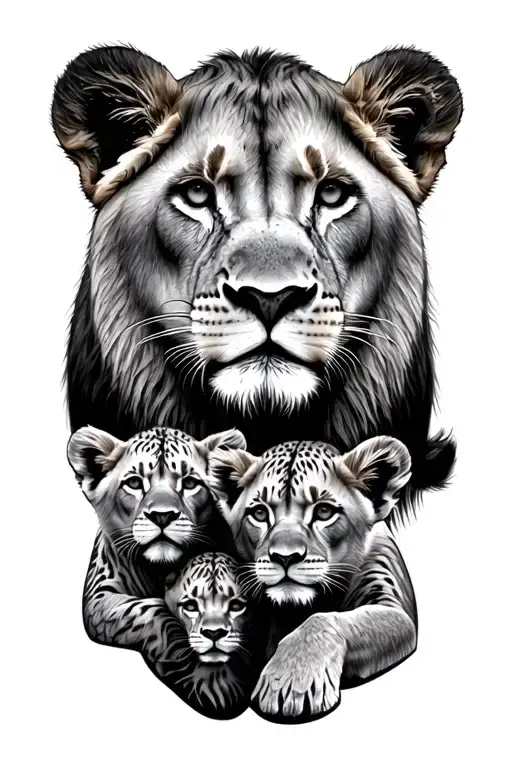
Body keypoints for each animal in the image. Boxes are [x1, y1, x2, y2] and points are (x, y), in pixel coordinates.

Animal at [208, 436, 417, 722]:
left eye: (324, 511)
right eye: (260, 513)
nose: (285, 557)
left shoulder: (394, 607)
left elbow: (323, 620)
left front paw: (288, 683)